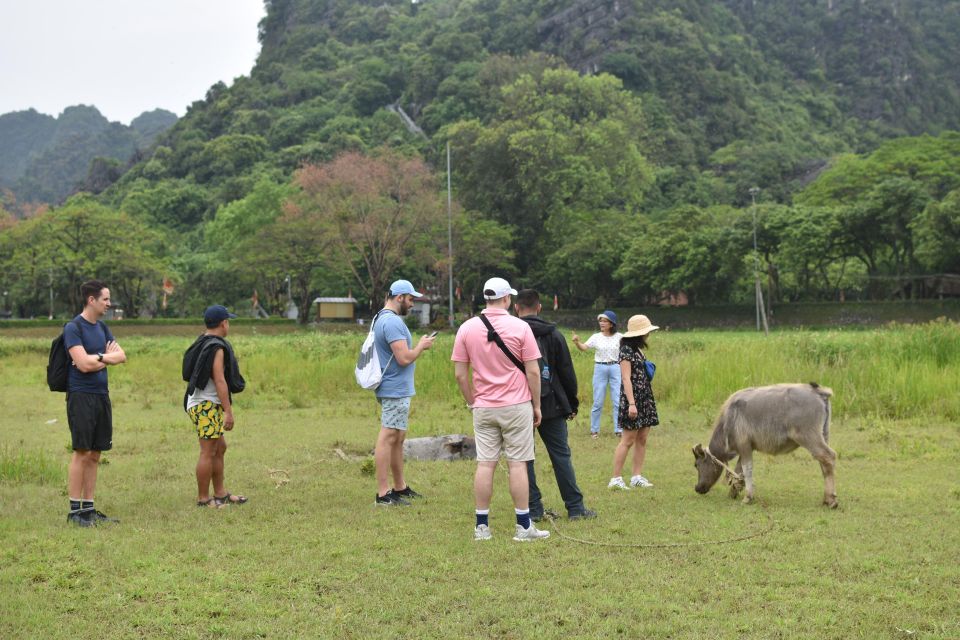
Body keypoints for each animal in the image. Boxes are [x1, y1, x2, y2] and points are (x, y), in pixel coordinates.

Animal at [692, 382, 836, 508]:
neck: (730, 418)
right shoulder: (745, 449)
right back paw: (826, 498)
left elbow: (747, 470)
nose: (697, 488)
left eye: (696, 465)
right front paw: (734, 490)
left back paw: (831, 500)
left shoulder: (744, 446)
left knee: (829, 457)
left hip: (809, 437)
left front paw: (748, 497)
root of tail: (818, 391)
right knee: (824, 463)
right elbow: (739, 471)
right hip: (824, 436)